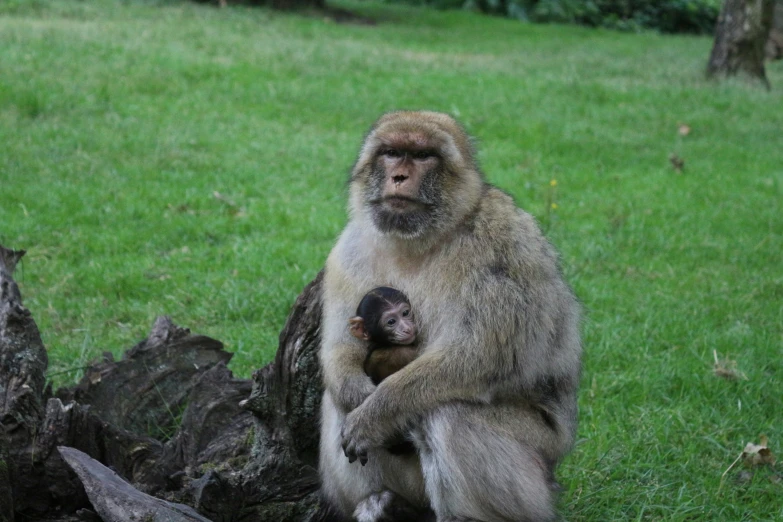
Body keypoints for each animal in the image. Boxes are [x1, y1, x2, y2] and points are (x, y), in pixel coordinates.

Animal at [318, 110, 580, 520]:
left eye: (424, 156)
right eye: (392, 153)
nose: (399, 176)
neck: (419, 242)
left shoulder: (499, 243)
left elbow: (479, 355)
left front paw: (377, 412)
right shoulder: (348, 250)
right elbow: (342, 348)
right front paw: (357, 392)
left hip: (541, 458)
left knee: (451, 412)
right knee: (334, 399)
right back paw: (381, 502)